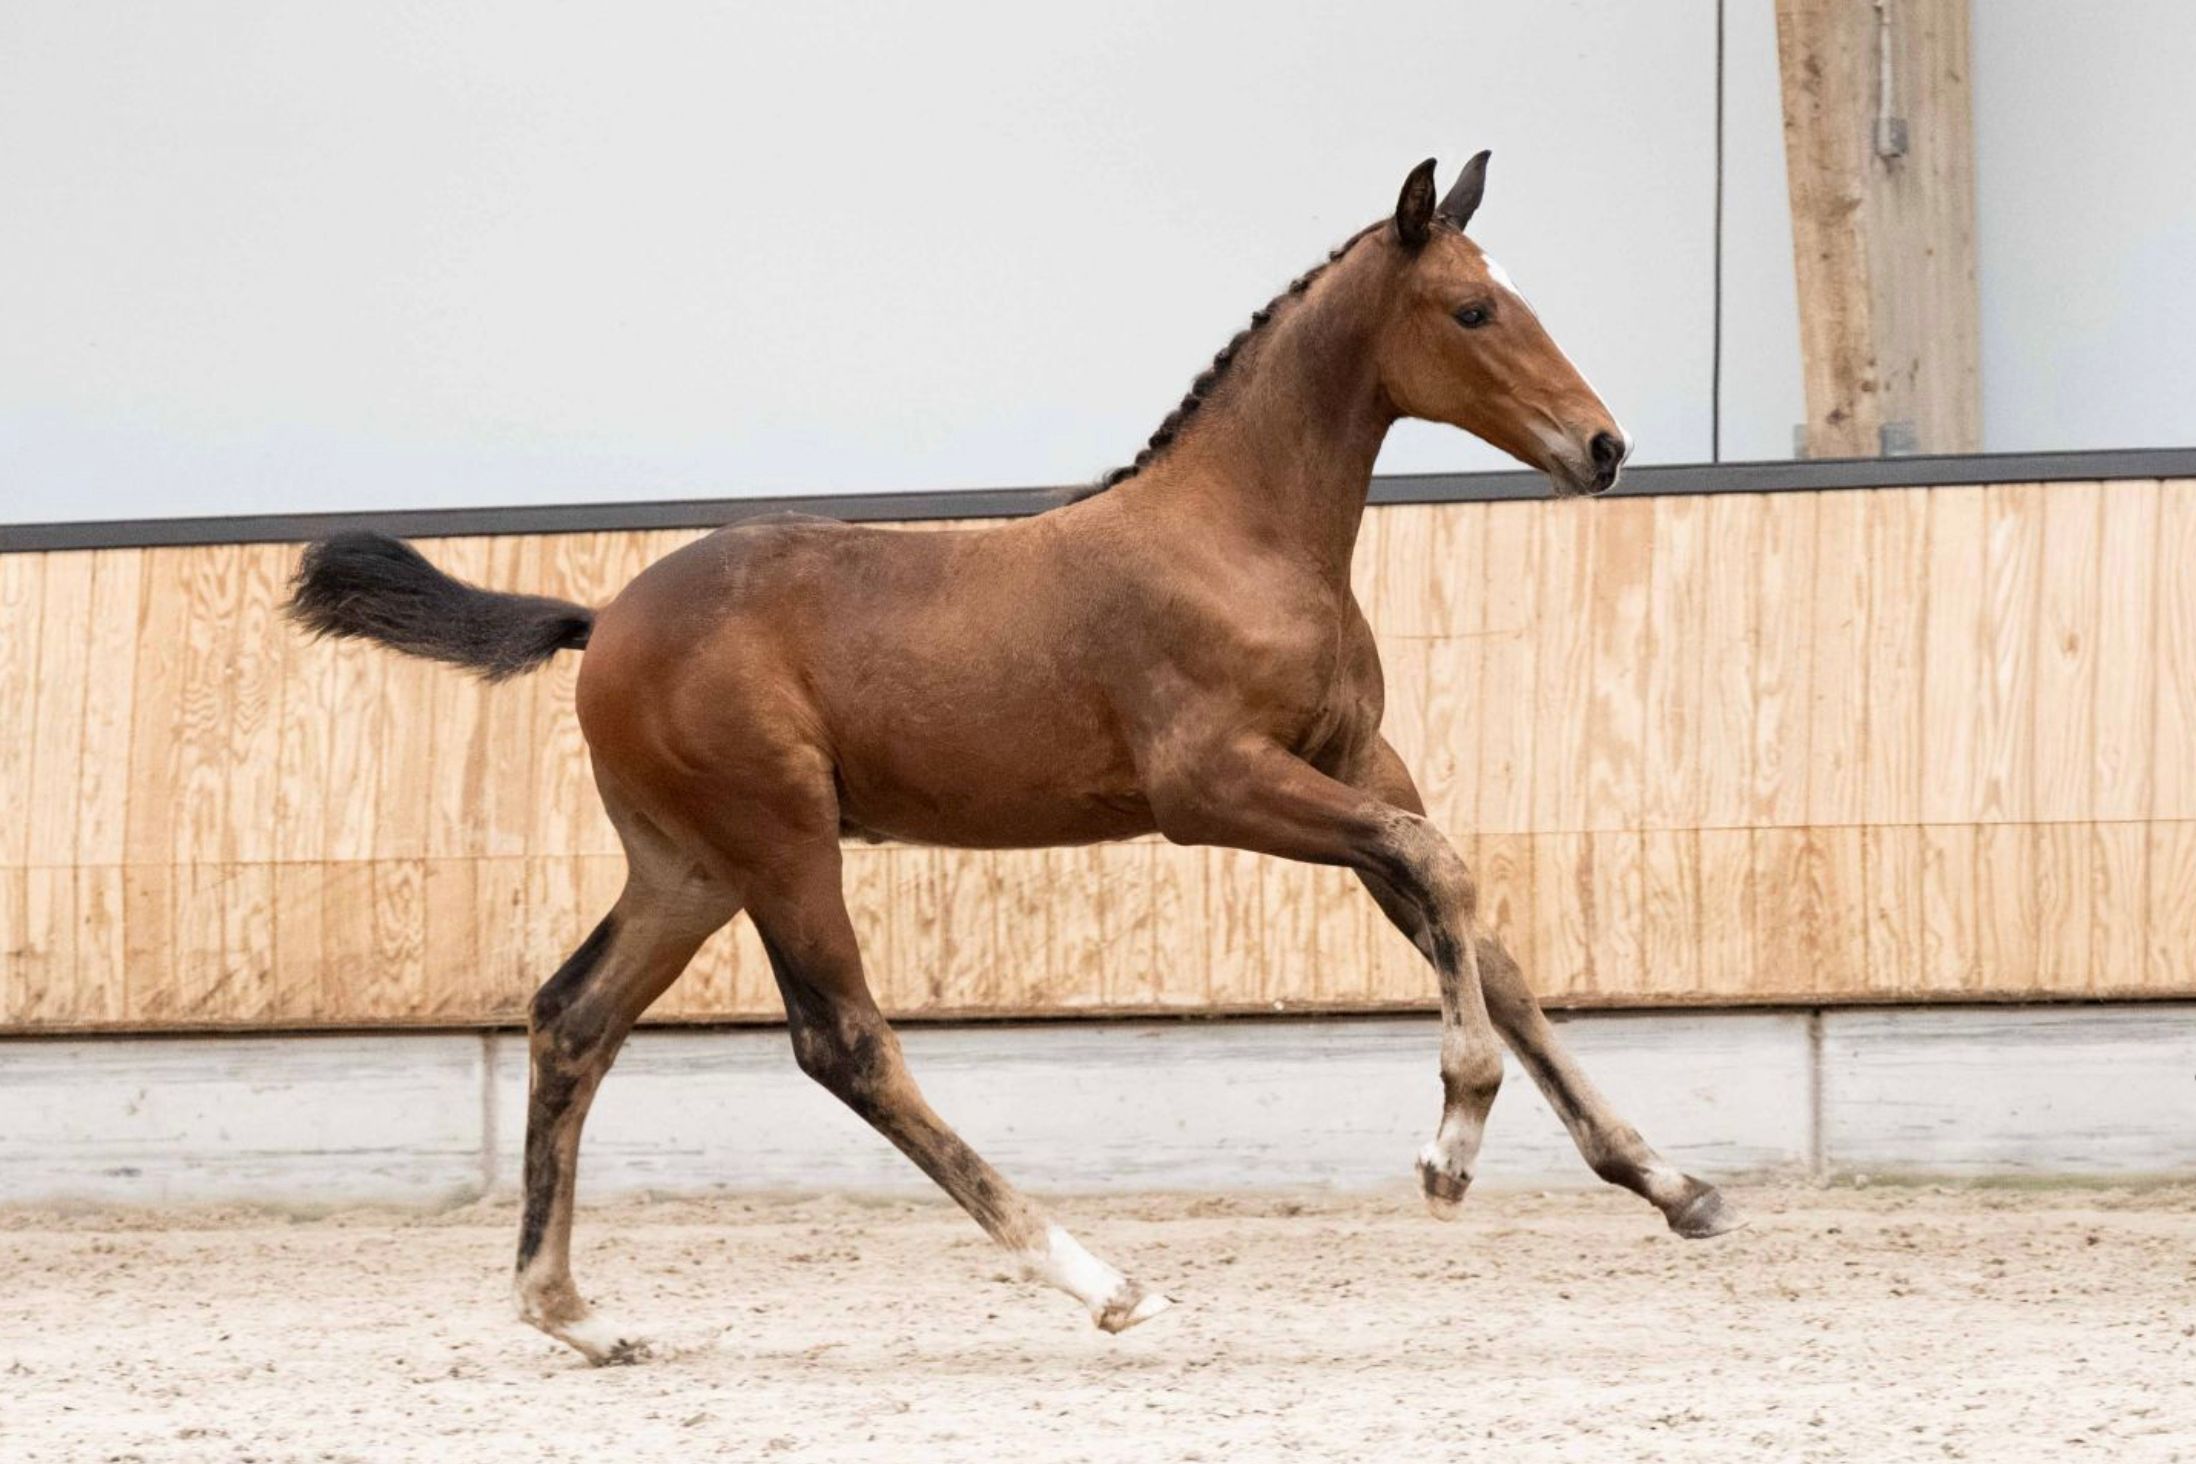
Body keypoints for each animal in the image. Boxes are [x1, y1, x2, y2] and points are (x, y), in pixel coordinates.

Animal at [287, 153, 1741, 1366]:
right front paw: (1450, 1143)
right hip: (780, 843)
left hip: (687, 869)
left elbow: (1478, 929)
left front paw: (1673, 1187)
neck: (1243, 537)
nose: (1604, 447)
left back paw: (571, 1315)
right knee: (843, 1045)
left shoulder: (1359, 766)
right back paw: (1105, 1281)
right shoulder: (1214, 787)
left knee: (572, 1020)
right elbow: (1447, 885)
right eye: (1474, 310)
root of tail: (603, 621)